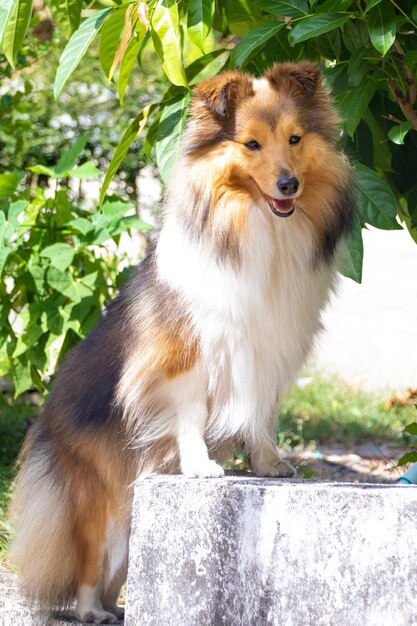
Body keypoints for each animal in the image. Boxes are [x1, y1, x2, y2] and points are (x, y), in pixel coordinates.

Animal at [10, 62, 354, 620]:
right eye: (250, 144)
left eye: (295, 139)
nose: (289, 184)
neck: (256, 225)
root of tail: (45, 418)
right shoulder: (184, 357)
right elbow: (190, 413)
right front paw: (200, 467)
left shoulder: (267, 350)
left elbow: (260, 415)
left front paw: (270, 465)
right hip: (102, 493)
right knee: (88, 557)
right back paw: (91, 609)